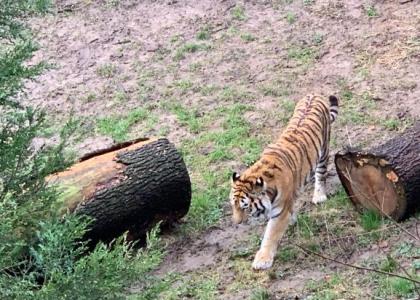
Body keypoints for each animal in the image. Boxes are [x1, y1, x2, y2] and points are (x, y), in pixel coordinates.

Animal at [230, 94, 338, 270]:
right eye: (233, 205)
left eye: (245, 207)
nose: (236, 222)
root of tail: (314, 94)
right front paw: (293, 219)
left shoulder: (279, 213)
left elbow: (270, 235)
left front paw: (262, 260)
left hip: (323, 150)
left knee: (320, 174)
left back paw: (319, 196)